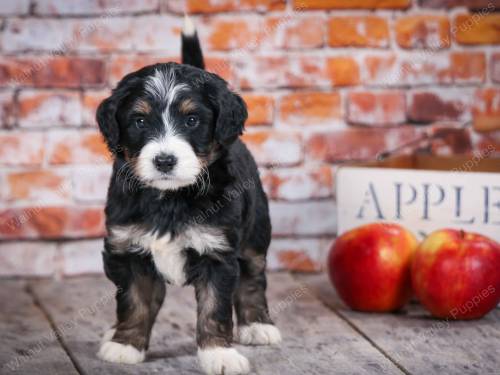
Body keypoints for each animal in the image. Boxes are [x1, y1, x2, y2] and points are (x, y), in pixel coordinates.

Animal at [94, 15, 282, 375]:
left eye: (192, 120)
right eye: (139, 121)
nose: (165, 160)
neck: (170, 199)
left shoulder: (217, 252)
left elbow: (214, 308)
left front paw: (219, 354)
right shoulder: (128, 247)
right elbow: (135, 300)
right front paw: (126, 344)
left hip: (256, 231)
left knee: (253, 277)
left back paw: (257, 324)